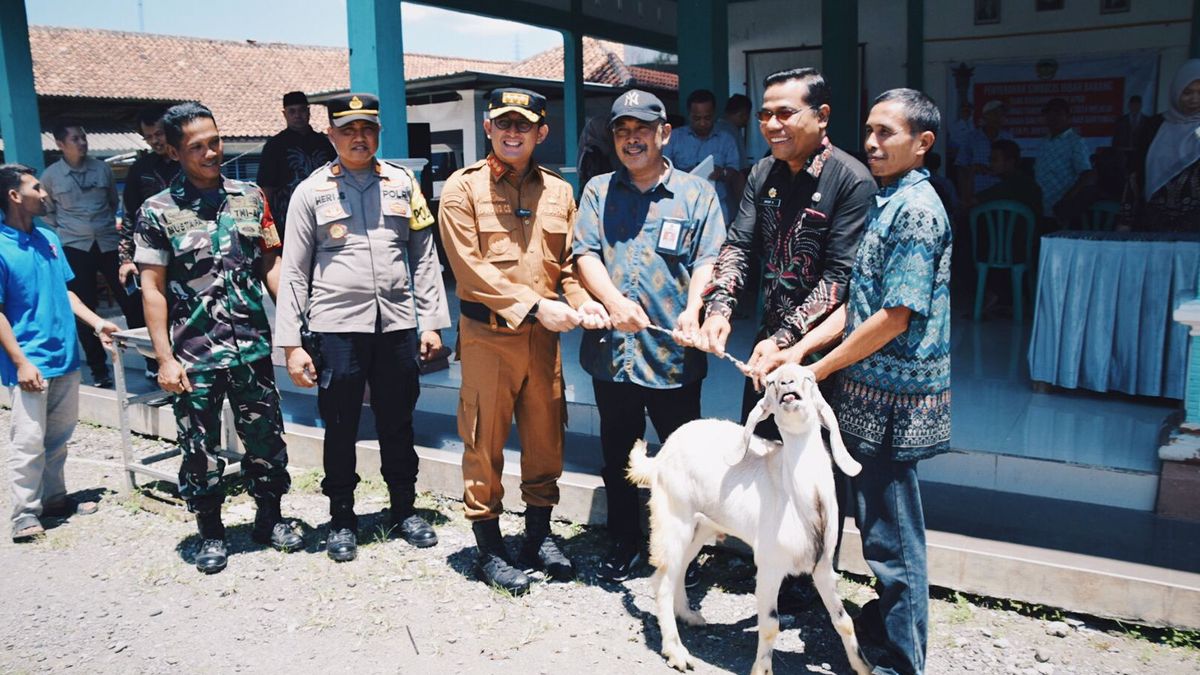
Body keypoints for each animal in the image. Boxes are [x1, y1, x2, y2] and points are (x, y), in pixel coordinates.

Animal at [628, 362, 873, 672]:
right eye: (770, 382)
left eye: (809, 377)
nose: (786, 382)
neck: (800, 500)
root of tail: (658, 458)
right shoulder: (769, 565)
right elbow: (769, 625)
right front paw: (761, 670)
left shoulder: (823, 565)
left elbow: (844, 621)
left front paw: (864, 667)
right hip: (673, 516)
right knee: (663, 580)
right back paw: (677, 652)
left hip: (702, 526)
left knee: (678, 569)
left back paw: (689, 616)